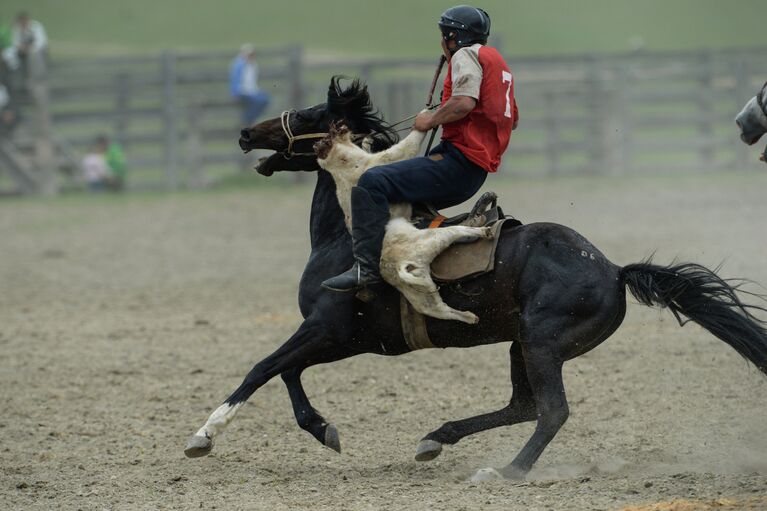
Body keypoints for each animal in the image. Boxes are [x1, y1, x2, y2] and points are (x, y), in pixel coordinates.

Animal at [186, 77, 767, 480]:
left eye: (310, 112)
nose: (246, 133)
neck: (346, 232)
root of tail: (613, 269)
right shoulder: (345, 338)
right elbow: (287, 374)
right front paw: (324, 430)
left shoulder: (328, 329)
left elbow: (263, 368)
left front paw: (204, 435)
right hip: (520, 345)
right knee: (523, 405)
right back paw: (437, 438)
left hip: (541, 341)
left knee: (551, 411)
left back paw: (506, 471)